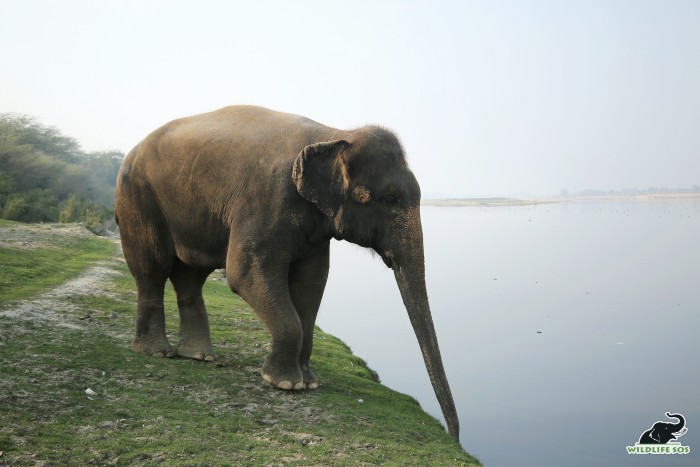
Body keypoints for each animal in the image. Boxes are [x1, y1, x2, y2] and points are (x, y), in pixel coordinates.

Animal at [115, 104, 460, 440]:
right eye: (390, 199)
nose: (454, 438)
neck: (333, 134)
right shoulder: (265, 199)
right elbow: (244, 272)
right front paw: (284, 384)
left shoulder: (316, 229)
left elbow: (312, 282)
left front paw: (308, 381)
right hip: (137, 199)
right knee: (151, 269)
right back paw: (156, 352)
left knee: (191, 276)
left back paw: (198, 356)